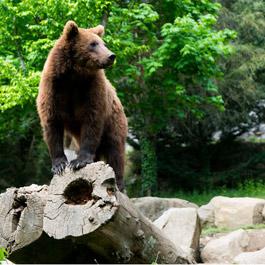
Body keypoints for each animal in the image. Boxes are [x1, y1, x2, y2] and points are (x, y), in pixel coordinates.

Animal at [36, 20, 127, 190]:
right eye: (93, 44)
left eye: (103, 43)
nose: (111, 56)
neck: (74, 75)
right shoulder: (54, 88)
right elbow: (52, 123)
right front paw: (59, 164)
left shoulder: (91, 89)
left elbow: (92, 121)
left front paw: (79, 161)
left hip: (114, 121)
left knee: (115, 150)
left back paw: (118, 182)